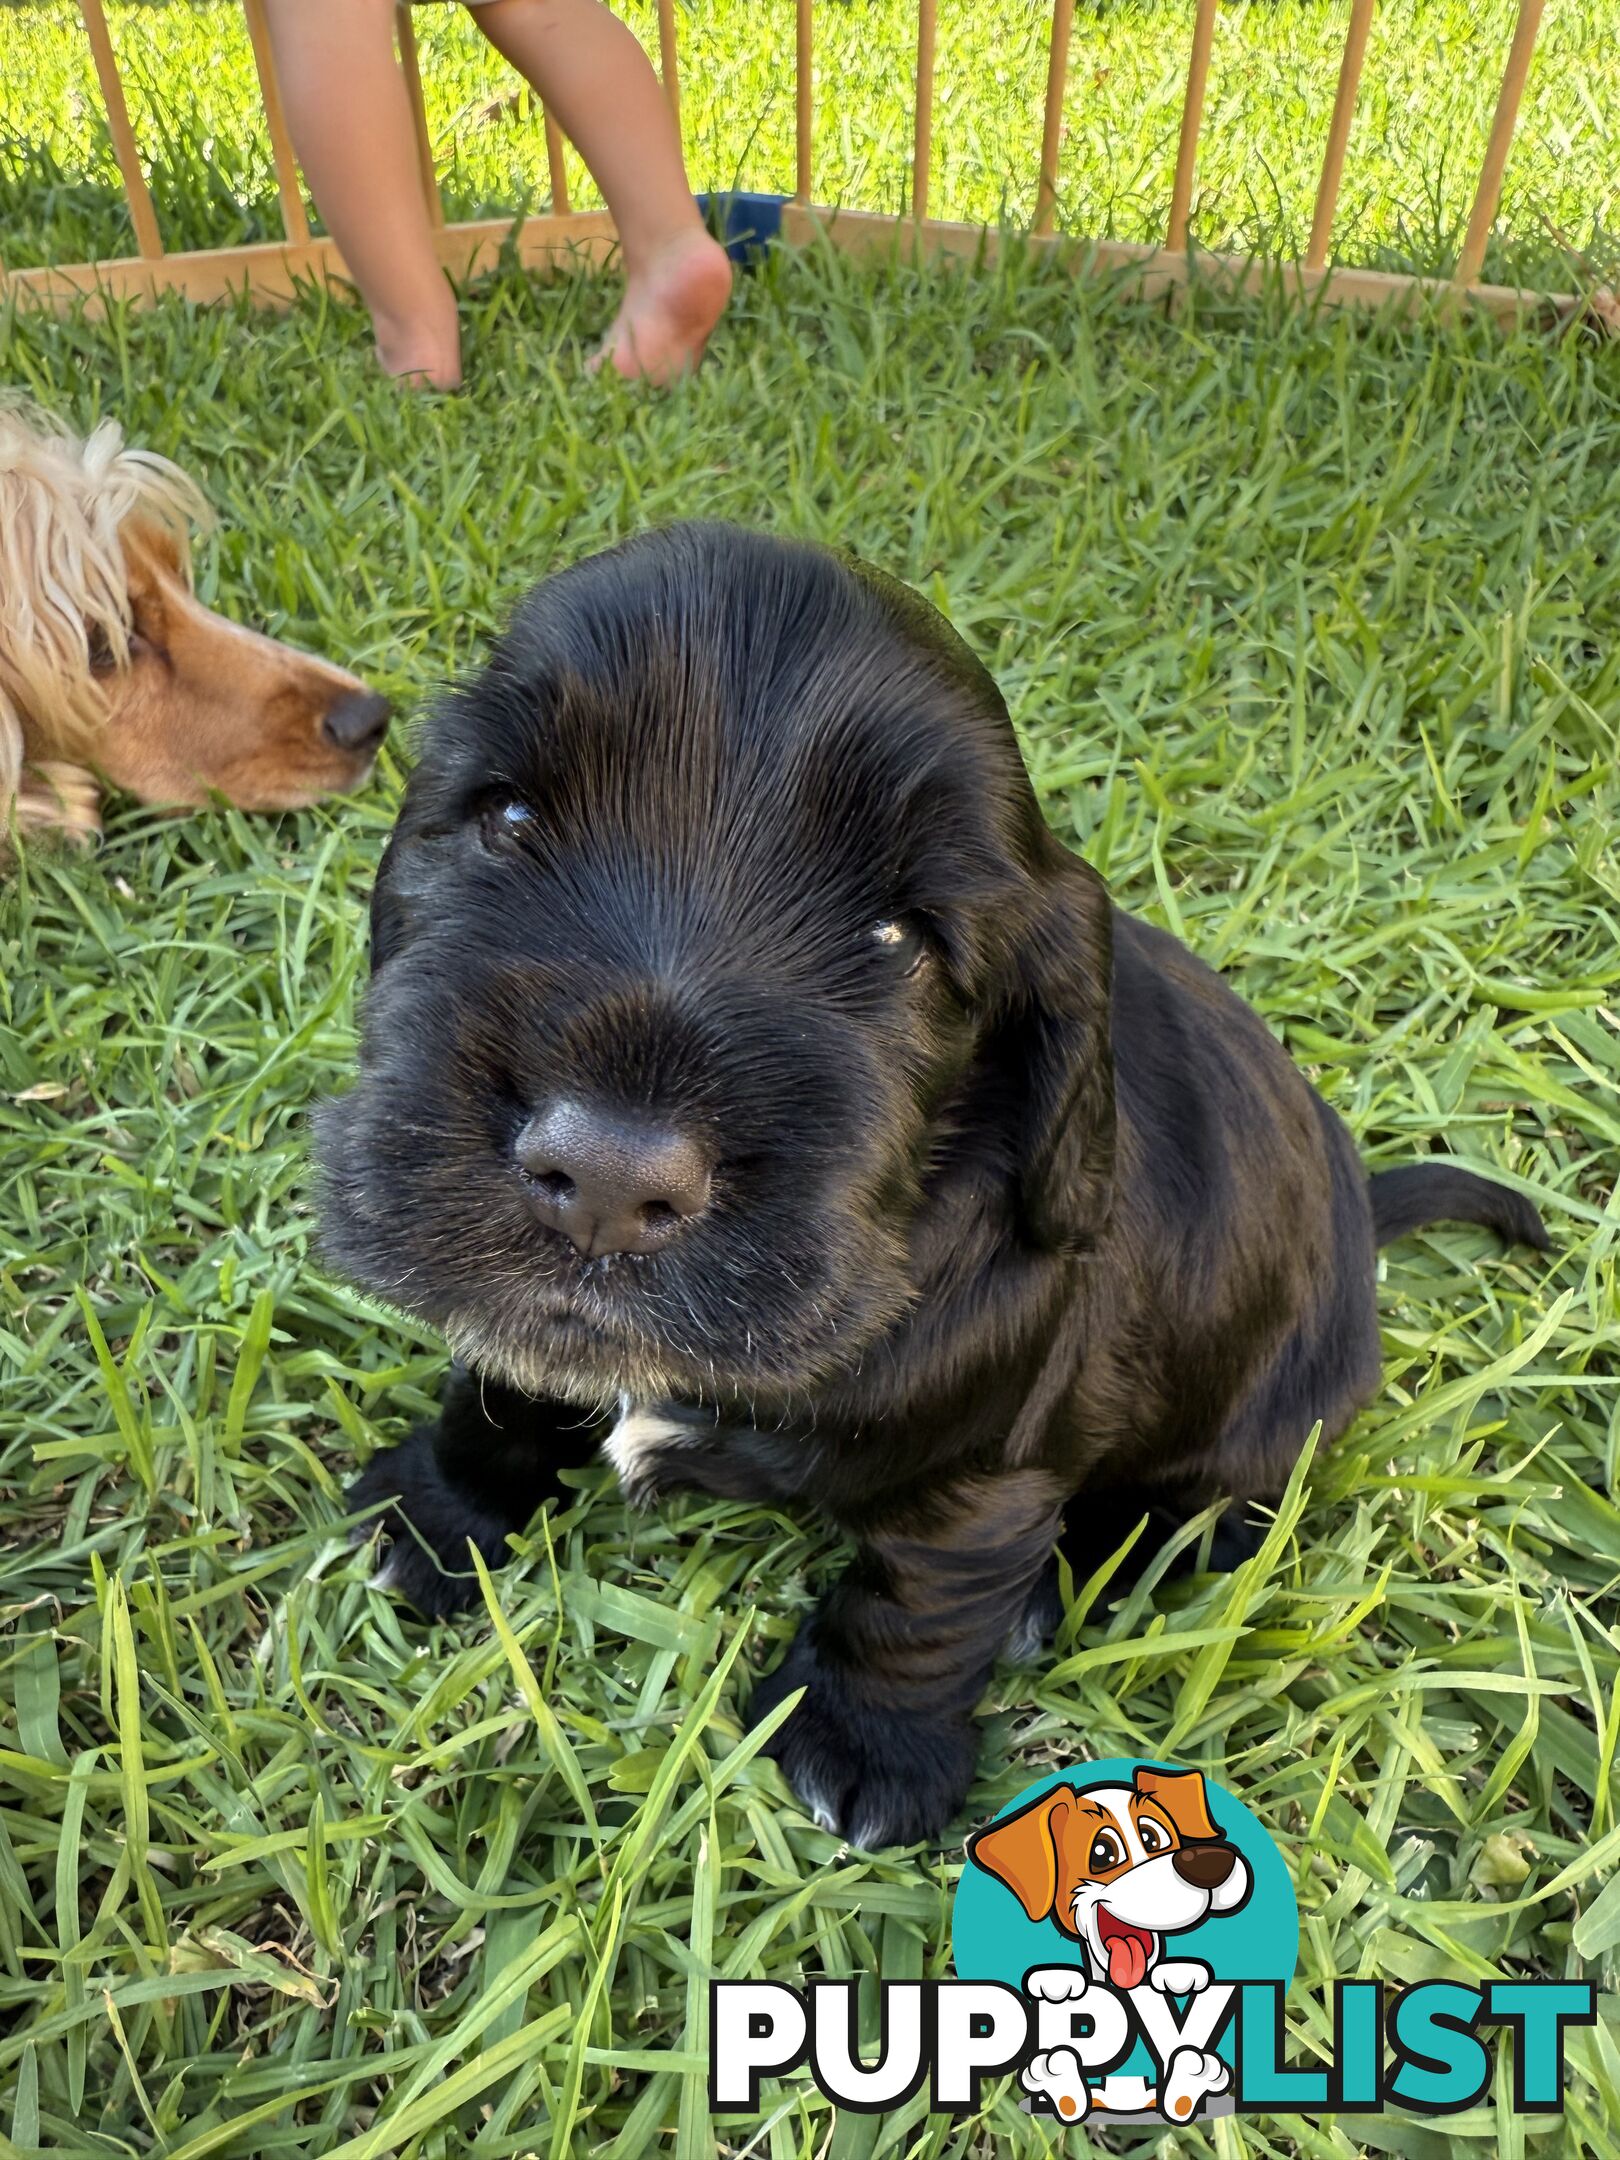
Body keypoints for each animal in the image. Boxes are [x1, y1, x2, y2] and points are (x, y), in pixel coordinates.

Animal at [317, 518, 1546, 1840]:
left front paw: (865, 1745)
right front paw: (444, 1509)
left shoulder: (984, 1475)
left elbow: (919, 1599)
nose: (605, 1176)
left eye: (901, 939)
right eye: (505, 816)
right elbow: (501, 1383)